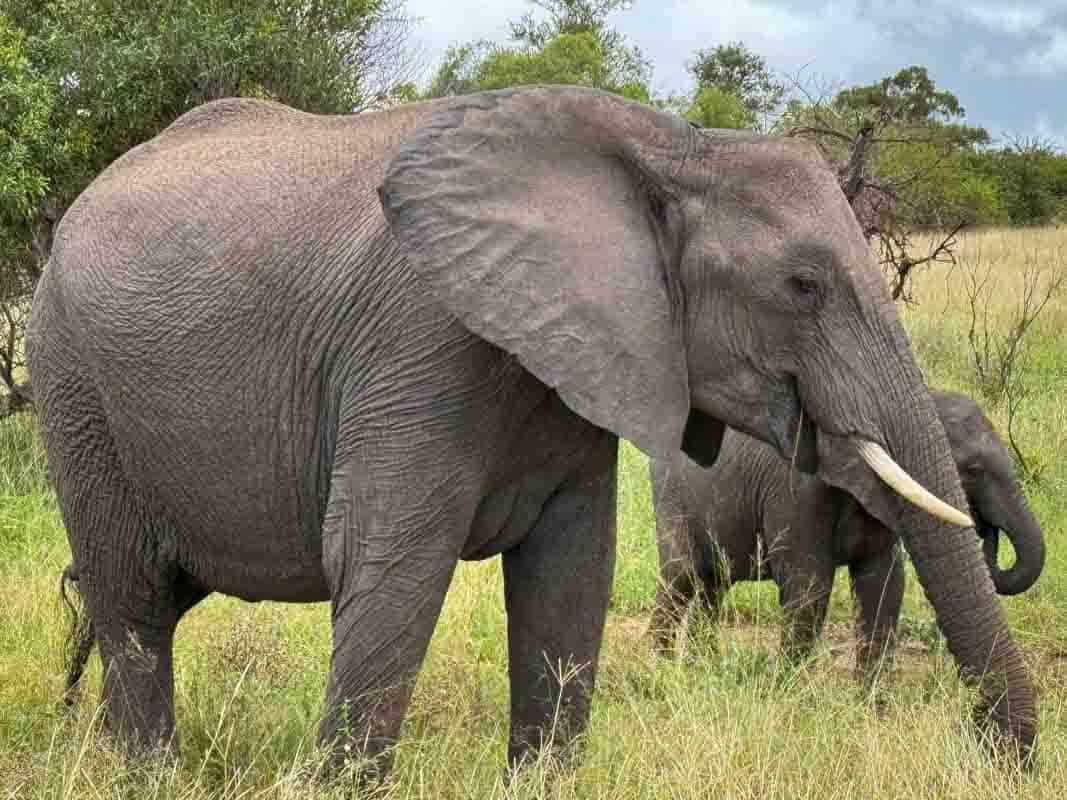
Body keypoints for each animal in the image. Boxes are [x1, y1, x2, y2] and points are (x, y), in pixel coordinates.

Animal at [644, 392, 1045, 686]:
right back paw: (662, 665)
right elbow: (810, 587)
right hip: (671, 494)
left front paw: (872, 704)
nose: (985, 528)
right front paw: (786, 693)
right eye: (973, 470)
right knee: (681, 577)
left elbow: (883, 585)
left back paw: (701, 666)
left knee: (714, 585)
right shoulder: (797, 491)